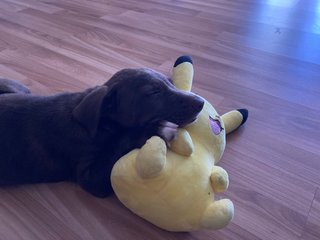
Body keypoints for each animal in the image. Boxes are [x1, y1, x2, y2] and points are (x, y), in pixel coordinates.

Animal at [0, 68, 205, 198]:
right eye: (153, 92)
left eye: (171, 83)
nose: (201, 103)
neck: (103, 124)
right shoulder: (90, 177)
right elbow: (121, 144)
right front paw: (157, 129)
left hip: (18, 88)